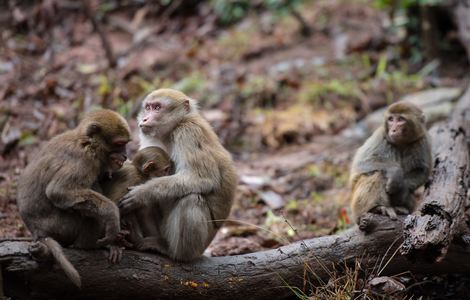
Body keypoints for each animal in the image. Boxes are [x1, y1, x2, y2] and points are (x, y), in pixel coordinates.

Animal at [17, 109, 130, 288]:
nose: (125, 155)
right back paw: (93, 245)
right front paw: (113, 216)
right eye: (120, 143)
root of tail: (38, 232)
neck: (88, 142)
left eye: (126, 143)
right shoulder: (84, 159)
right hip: (62, 227)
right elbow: (58, 191)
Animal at [119, 88, 237, 262]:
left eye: (157, 108)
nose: (145, 118)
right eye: (148, 107)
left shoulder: (188, 132)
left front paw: (142, 193)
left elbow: (203, 178)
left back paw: (172, 252)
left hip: (200, 245)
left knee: (190, 199)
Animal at [350, 101, 432, 230]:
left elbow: (422, 171)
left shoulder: (422, 141)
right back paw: (377, 208)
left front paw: (402, 190)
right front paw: (395, 172)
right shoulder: (380, 136)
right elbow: (362, 162)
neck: (401, 143)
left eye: (401, 119)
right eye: (391, 119)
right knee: (378, 174)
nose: (393, 130)